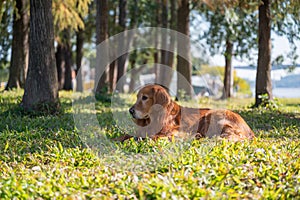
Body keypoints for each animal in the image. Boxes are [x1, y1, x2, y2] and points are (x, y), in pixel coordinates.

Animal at [113, 84, 254, 142]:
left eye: (145, 98)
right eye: (137, 97)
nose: (130, 111)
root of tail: (250, 131)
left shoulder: (176, 131)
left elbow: (151, 137)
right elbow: (127, 135)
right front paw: (116, 139)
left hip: (213, 115)